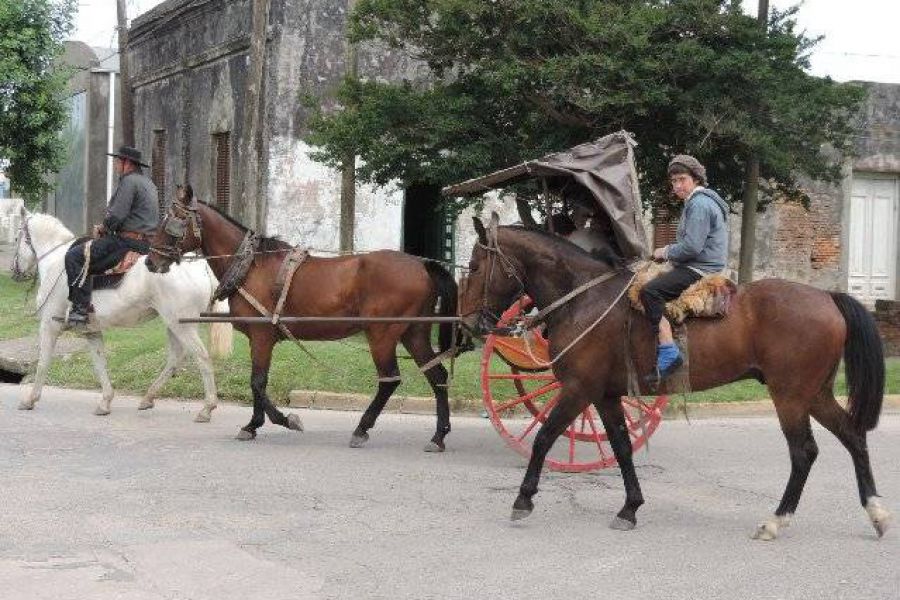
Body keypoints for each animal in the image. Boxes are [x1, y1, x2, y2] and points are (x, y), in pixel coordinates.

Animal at [11, 211, 232, 422]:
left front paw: (30, 399)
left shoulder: (49, 325)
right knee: (176, 358)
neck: (55, 263)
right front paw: (105, 402)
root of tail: (202, 265)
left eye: (15, 238)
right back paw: (148, 398)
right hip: (173, 324)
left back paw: (207, 408)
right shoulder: (91, 331)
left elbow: (43, 362)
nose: (15, 271)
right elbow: (100, 363)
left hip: (182, 325)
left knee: (202, 357)